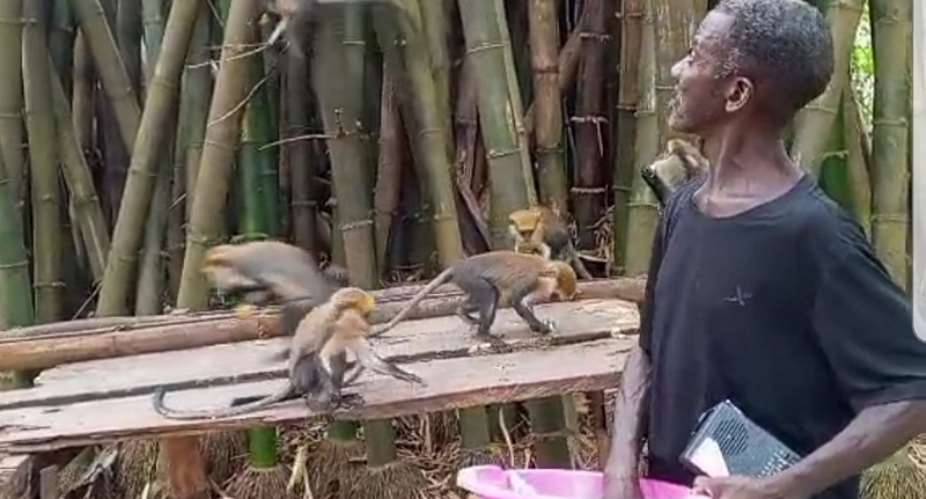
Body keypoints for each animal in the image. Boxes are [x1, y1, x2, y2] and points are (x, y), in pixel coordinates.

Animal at [152, 287, 425, 419]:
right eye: (364, 313)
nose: (368, 323)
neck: (341, 319)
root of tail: (293, 381)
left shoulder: (352, 332)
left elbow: (365, 358)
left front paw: (407, 375)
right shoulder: (331, 326)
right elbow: (319, 357)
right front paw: (334, 394)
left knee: (338, 358)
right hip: (302, 377)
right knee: (313, 362)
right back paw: (317, 398)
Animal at [370, 251, 578, 340]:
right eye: (555, 293)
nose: (550, 296)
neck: (543, 269)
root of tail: (459, 267)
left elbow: (525, 303)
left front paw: (537, 326)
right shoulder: (529, 281)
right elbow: (516, 300)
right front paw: (541, 328)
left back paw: (461, 312)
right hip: (470, 279)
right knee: (489, 293)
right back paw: (484, 334)